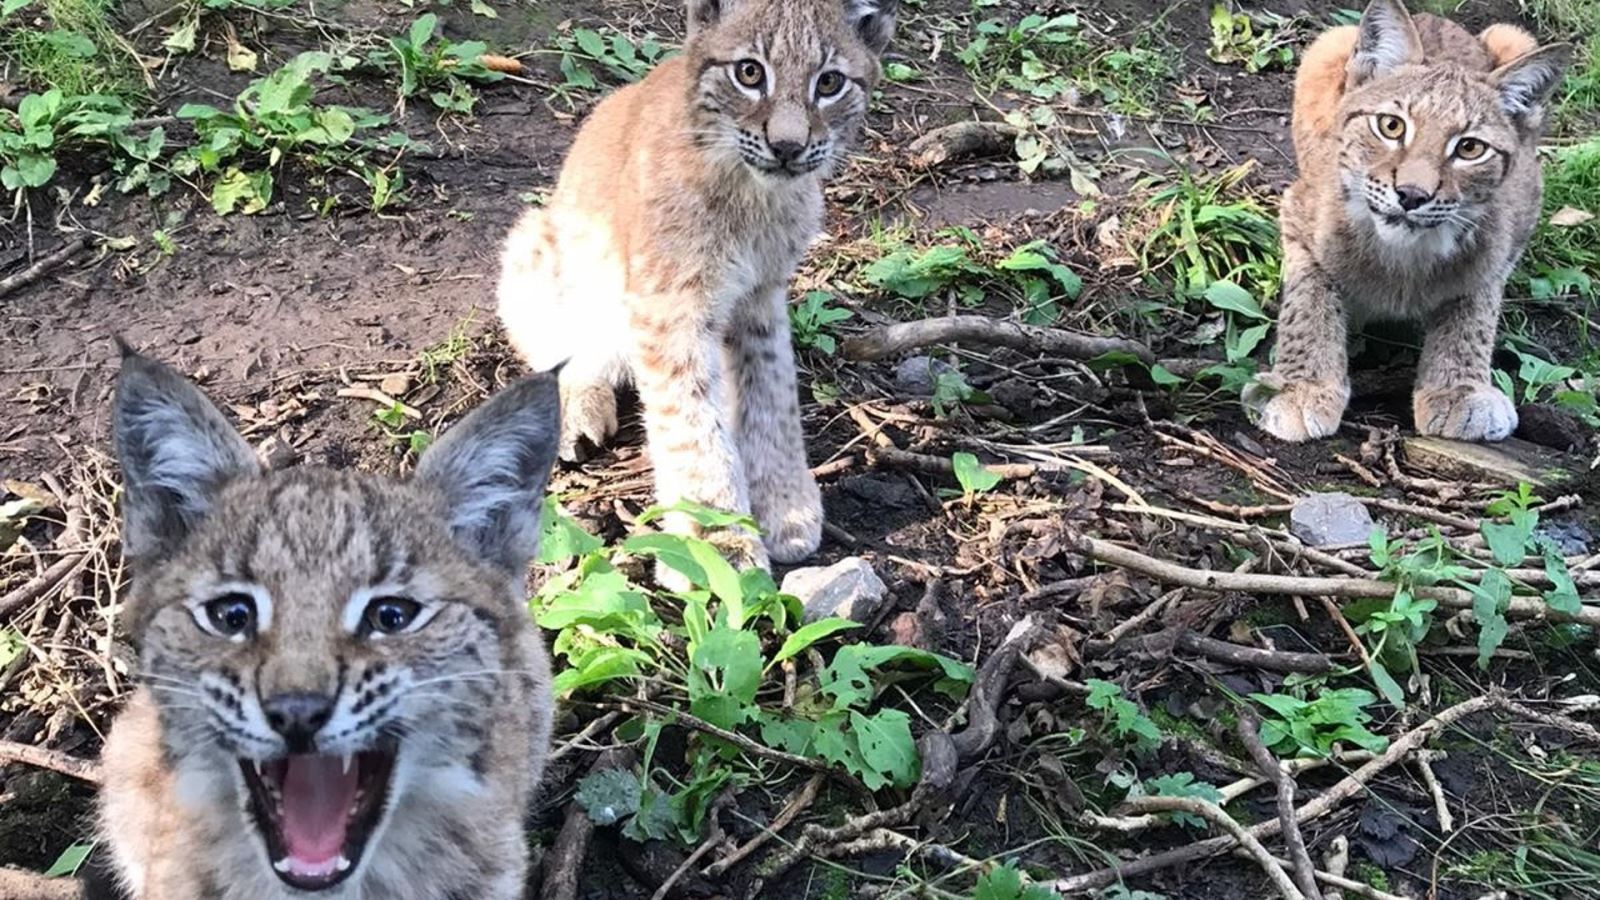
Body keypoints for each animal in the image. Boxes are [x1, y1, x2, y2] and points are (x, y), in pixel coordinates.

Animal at [499, 0, 902, 566]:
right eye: (749, 73)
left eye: (830, 83)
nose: (787, 146)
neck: (752, 192)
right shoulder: (670, 304)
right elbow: (689, 420)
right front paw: (717, 545)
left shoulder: (762, 293)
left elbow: (772, 394)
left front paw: (785, 503)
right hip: (536, 242)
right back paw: (579, 404)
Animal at [1241, 0, 1568, 438]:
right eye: (1391, 126)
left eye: (1470, 149)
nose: (1413, 195)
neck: (1405, 250)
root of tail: (1435, 16)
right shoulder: (1297, 213)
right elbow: (1308, 301)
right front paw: (1301, 386)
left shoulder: (1501, 244)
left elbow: (1473, 313)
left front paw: (1458, 390)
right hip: (1327, 44)